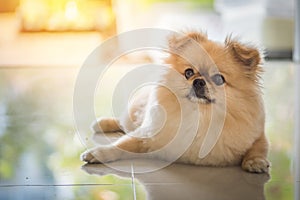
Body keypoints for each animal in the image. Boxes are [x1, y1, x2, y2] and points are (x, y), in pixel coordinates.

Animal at [80, 31, 270, 173]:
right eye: (188, 73)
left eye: (218, 79)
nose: (198, 81)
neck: (201, 116)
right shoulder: (148, 135)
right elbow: (121, 145)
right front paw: (98, 153)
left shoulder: (257, 136)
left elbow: (259, 147)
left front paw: (255, 162)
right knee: (122, 122)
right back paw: (102, 124)